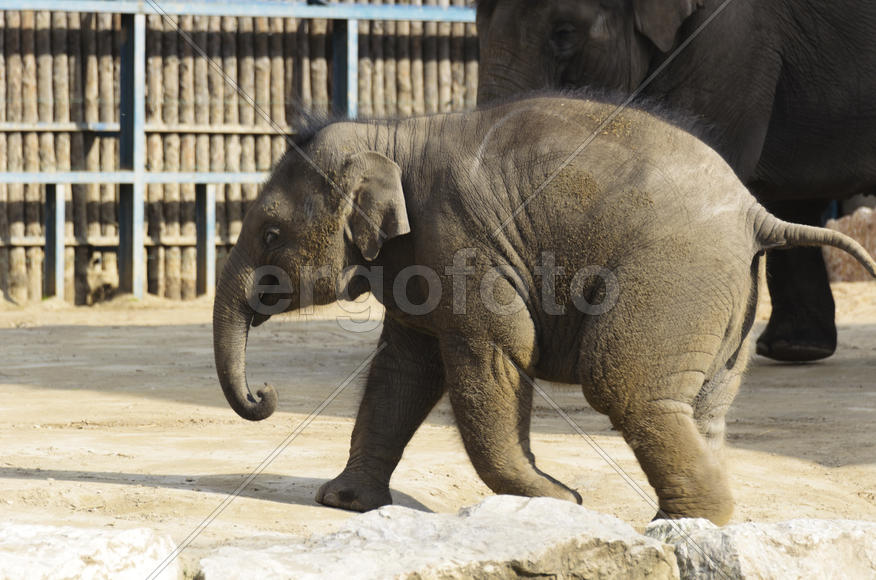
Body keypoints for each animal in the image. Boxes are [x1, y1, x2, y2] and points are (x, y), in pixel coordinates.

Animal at [212, 95, 876, 524]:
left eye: (270, 234)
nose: (262, 395)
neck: (396, 136)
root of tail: (755, 213)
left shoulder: (463, 245)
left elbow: (494, 353)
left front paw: (559, 501)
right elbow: (403, 368)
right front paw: (344, 504)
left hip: (677, 277)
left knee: (625, 387)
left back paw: (680, 527)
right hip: (727, 300)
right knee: (702, 408)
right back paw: (694, 522)